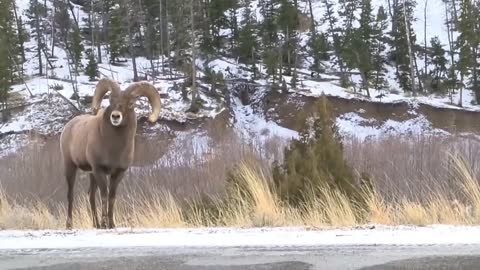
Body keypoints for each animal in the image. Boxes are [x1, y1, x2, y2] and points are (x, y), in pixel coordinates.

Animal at [59, 78, 161, 230]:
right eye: (111, 100)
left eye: (131, 103)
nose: (115, 116)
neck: (114, 148)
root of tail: (68, 127)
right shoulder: (99, 170)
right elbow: (104, 196)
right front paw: (104, 224)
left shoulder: (118, 173)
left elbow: (112, 197)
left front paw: (111, 224)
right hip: (71, 167)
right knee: (70, 195)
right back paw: (69, 225)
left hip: (91, 174)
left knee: (91, 195)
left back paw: (95, 225)